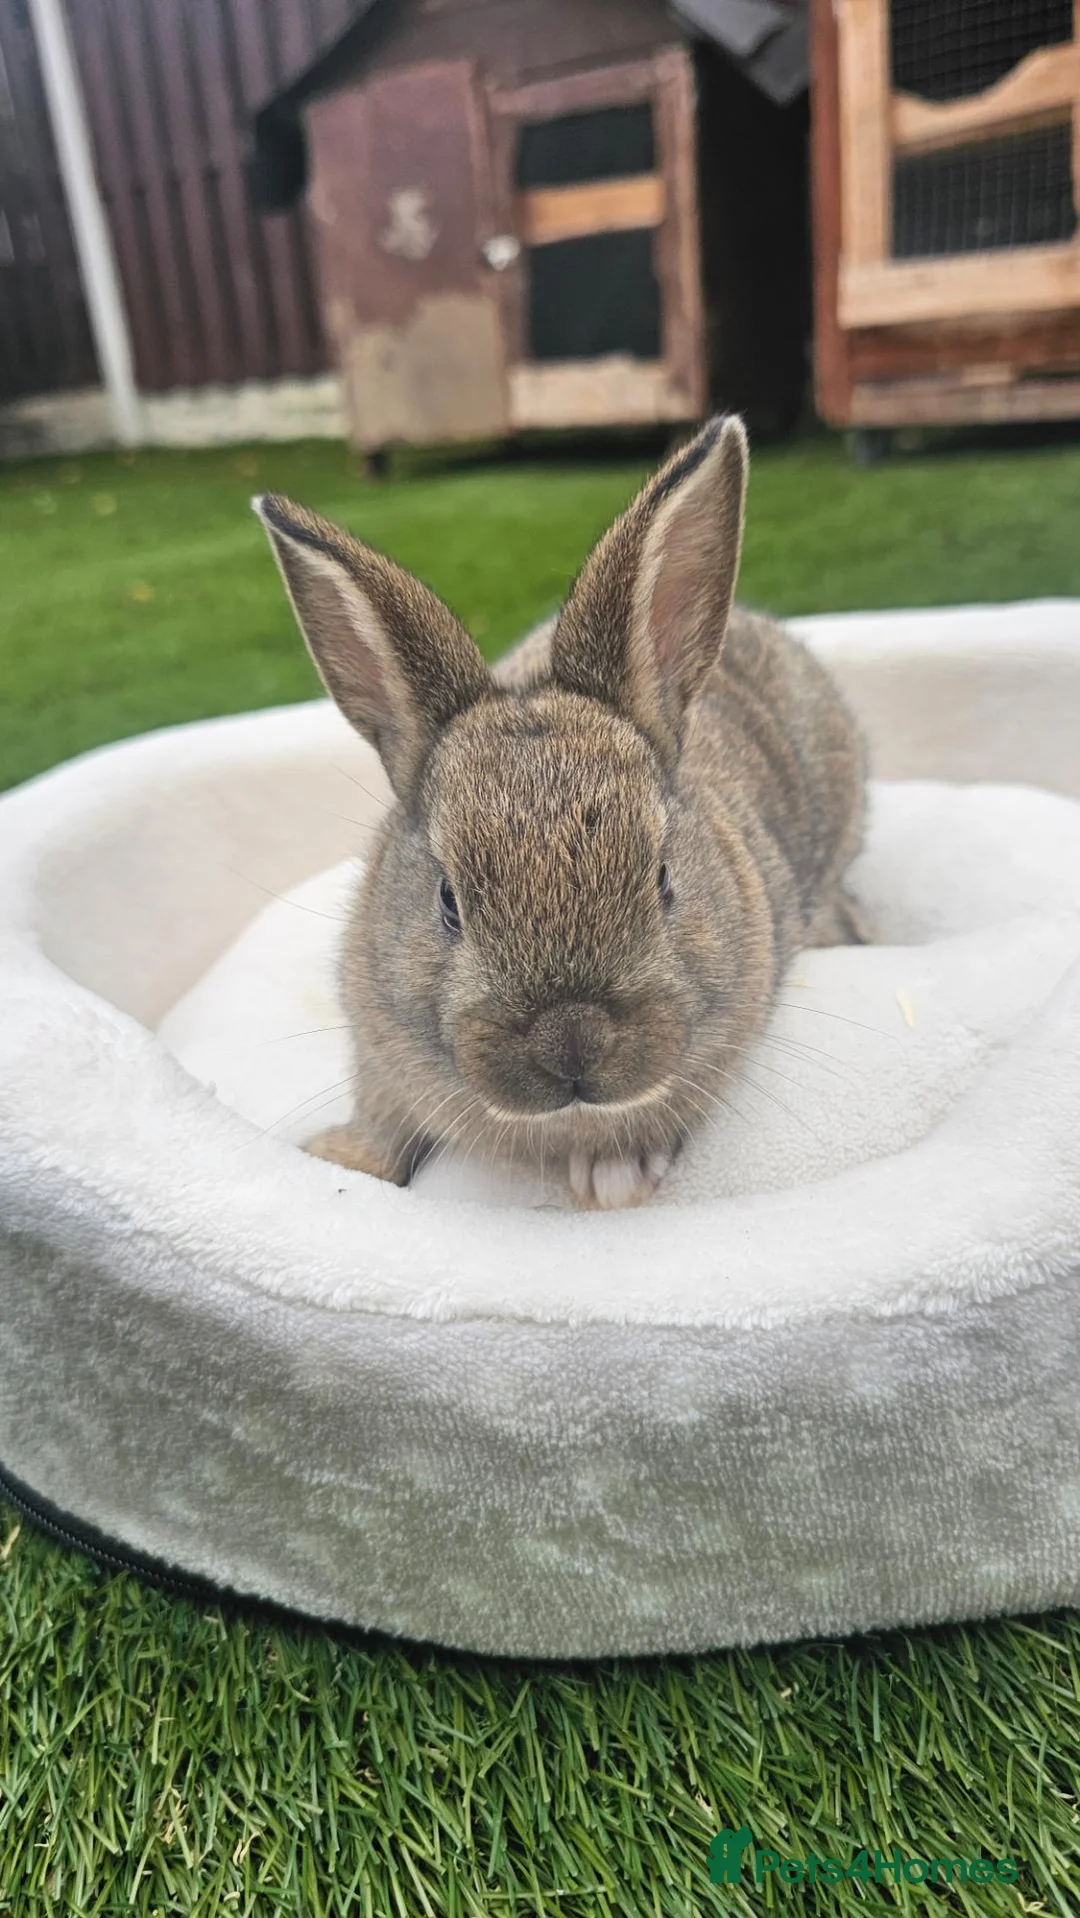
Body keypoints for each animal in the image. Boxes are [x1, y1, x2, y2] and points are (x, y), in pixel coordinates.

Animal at [253, 414, 868, 1210]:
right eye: (447, 901)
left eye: (663, 878)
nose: (571, 1043)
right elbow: (383, 1119)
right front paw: (342, 1159)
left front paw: (615, 1176)